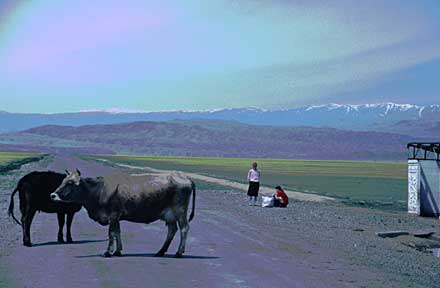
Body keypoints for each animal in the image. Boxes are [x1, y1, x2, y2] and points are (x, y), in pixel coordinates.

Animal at [51, 170, 196, 258]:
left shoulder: (113, 215)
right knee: (172, 230)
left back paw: (179, 252)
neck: (99, 190)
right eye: (63, 181)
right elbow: (117, 232)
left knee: (184, 228)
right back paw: (160, 251)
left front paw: (108, 252)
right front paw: (117, 251)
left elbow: (111, 233)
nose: (53, 195)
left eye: (70, 183)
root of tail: (185, 177)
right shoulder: (116, 218)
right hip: (170, 215)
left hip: (180, 212)